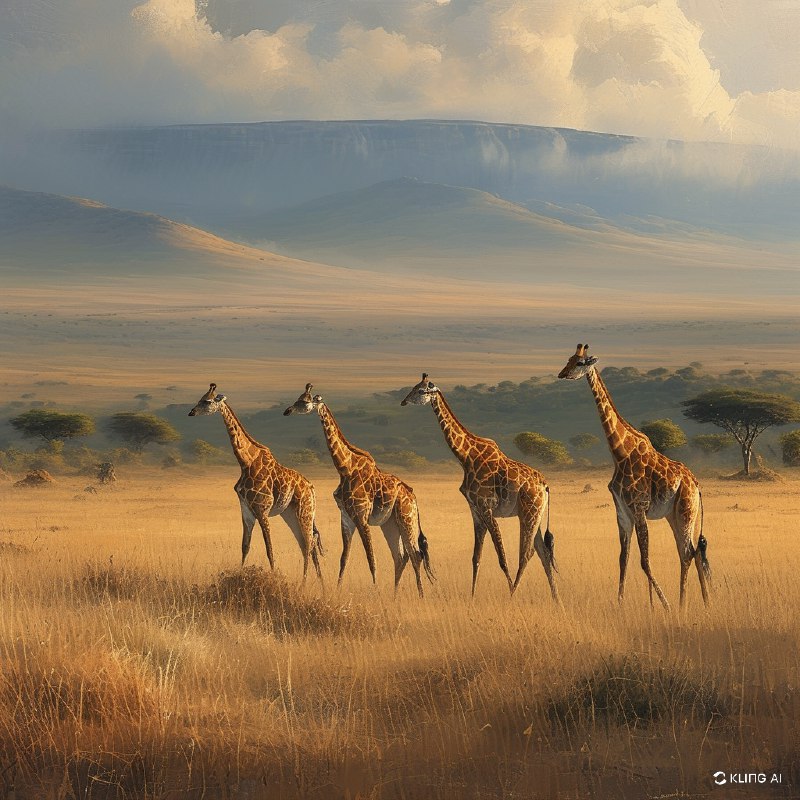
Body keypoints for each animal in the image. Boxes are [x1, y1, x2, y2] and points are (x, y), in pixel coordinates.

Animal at [189, 383, 323, 582]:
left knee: (308, 544)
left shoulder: (262, 509)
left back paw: (304, 583)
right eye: (200, 398)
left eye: (206, 401)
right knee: (307, 544)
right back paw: (321, 584)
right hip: (291, 514)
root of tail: (312, 488)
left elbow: (269, 550)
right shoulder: (246, 509)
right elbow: (245, 546)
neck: (246, 462)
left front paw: (274, 577)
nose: (191, 412)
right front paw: (239, 574)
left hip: (304, 510)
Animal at [283, 387, 434, 597]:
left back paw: (420, 595)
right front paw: (337, 590)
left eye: (305, 401)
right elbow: (343, 558)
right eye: (298, 398)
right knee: (401, 556)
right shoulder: (347, 517)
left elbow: (372, 559)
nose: (287, 411)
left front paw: (376, 591)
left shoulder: (361, 517)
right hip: (390, 523)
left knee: (415, 554)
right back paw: (395, 595)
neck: (345, 468)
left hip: (406, 518)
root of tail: (413, 498)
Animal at [401, 375, 558, 600]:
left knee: (527, 554)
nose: (403, 402)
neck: (465, 456)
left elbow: (502, 557)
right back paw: (556, 599)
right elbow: (476, 557)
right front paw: (472, 596)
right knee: (543, 553)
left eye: (421, 391)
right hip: (535, 515)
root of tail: (545, 486)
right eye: (414, 387)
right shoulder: (475, 510)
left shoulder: (486, 507)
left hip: (529, 512)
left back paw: (513, 595)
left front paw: (507, 591)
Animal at [558, 345, 710, 609]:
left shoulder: (638, 508)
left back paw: (683, 605)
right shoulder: (622, 511)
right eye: (568, 359)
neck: (620, 453)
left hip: (686, 510)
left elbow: (644, 561)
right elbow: (624, 557)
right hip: (675, 515)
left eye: (580, 363)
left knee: (688, 553)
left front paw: (664, 606)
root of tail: (696, 485)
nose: (562, 374)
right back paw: (700, 603)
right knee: (690, 551)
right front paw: (621, 604)